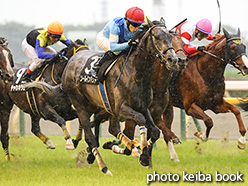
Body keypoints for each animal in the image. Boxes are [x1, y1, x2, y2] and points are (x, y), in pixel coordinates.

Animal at [59, 18, 177, 174]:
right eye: (157, 37)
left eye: (170, 37)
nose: (173, 60)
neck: (136, 72)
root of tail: (72, 60)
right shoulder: (121, 109)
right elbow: (140, 119)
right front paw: (141, 151)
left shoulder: (142, 107)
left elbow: (156, 131)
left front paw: (143, 155)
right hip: (81, 105)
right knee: (90, 136)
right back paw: (104, 168)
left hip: (98, 106)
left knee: (109, 128)